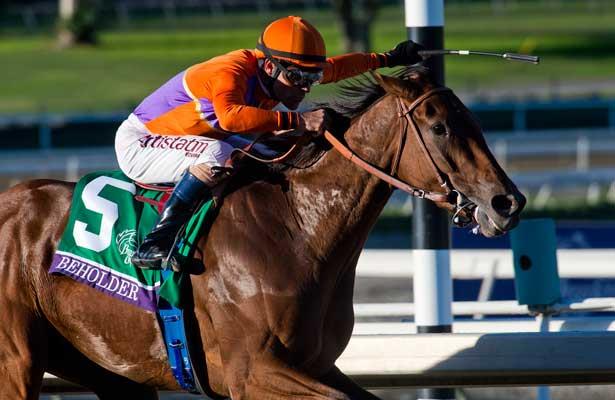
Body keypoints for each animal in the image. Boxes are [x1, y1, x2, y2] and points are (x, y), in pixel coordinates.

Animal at [0, 67, 528, 398]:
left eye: (473, 121)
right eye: (440, 128)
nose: (508, 202)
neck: (297, 230)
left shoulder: (316, 366)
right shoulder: (252, 372)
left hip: (110, 370)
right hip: (17, 362)